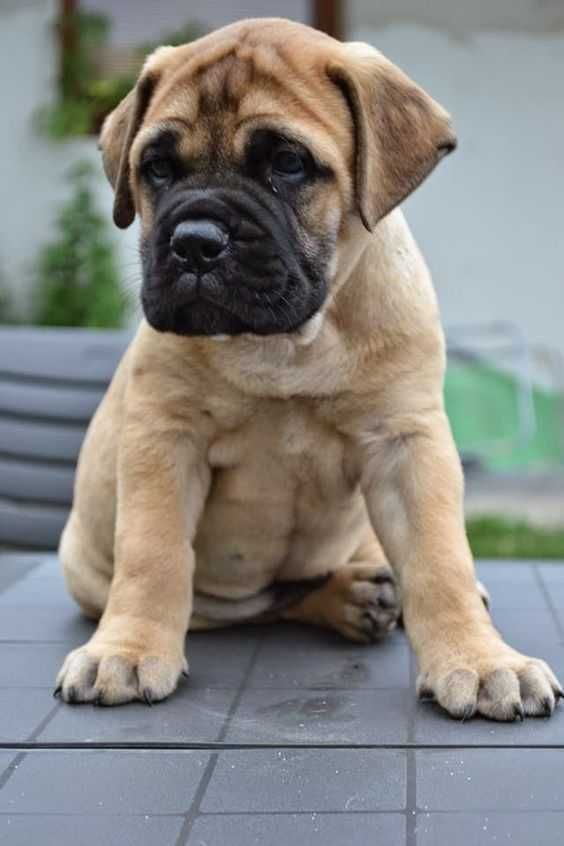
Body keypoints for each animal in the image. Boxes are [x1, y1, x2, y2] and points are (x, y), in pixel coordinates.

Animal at [56, 18, 560, 724]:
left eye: (288, 164)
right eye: (156, 168)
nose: (194, 242)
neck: (288, 343)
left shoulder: (407, 443)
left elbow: (440, 558)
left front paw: (481, 660)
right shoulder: (164, 437)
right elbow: (153, 554)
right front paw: (125, 651)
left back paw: (371, 593)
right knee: (262, 603)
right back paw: (348, 600)